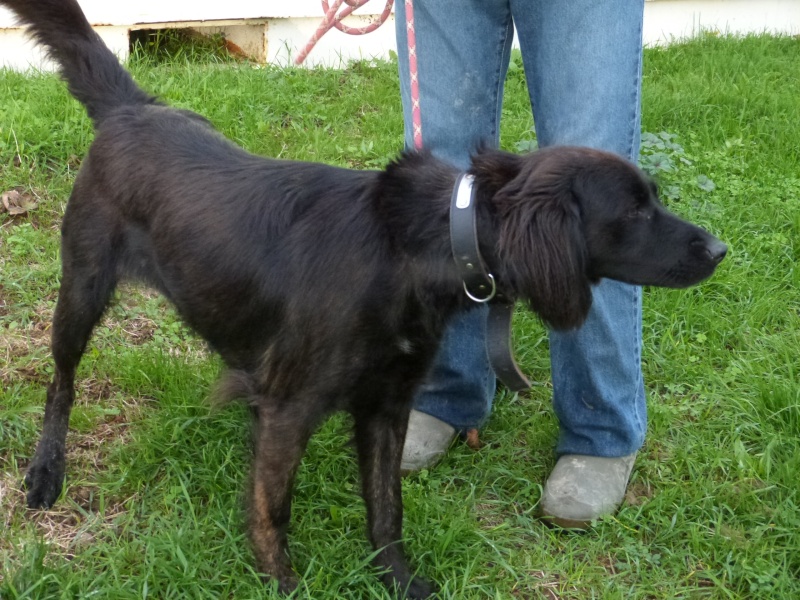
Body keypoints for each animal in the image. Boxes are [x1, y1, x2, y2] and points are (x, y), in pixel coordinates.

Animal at [1, 2, 724, 596]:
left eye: (652, 199)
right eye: (634, 211)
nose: (719, 249)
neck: (423, 246)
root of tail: (133, 108)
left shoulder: (387, 405)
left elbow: (386, 509)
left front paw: (399, 581)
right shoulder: (294, 406)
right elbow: (273, 510)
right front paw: (282, 584)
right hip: (82, 289)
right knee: (61, 382)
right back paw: (46, 471)